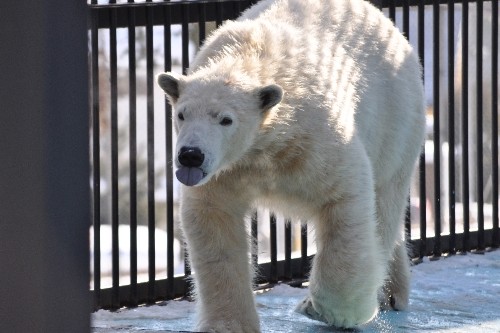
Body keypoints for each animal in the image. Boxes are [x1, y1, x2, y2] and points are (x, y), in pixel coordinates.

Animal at [158, 0, 424, 330]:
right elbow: (214, 219)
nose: (190, 155)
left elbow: (345, 199)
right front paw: (229, 324)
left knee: (384, 205)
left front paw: (323, 309)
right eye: (182, 114)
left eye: (225, 119)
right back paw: (392, 292)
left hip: (395, 119)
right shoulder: (226, 171)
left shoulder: (315, 137)